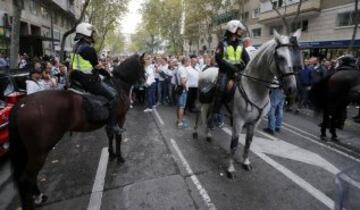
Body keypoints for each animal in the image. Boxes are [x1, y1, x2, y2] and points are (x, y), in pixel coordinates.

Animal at [8, 54, 143, 210]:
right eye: (142, 66)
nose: (143, 83)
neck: (118, 85)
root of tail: (21, 105)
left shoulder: (110, 122)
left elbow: (110, 135)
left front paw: (112, 154)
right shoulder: (120, 118)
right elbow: (118, 137)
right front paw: (120, 157)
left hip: (28, 151)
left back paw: (39, 196)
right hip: (39, 152)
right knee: (26, 179)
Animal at [193, 29, 302, 177]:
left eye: (294, 55)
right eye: (280, 57)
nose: (292, 88)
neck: (254, 89)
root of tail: (206, 70)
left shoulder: (254, 123)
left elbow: (248, 143)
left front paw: (245, 162)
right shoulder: (238, 121)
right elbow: (234, 144)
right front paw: (230, 169)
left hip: (212, 104)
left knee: (209, 116)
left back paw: (209, 134)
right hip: (201, 101)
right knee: (198, 114)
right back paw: (195, 132)